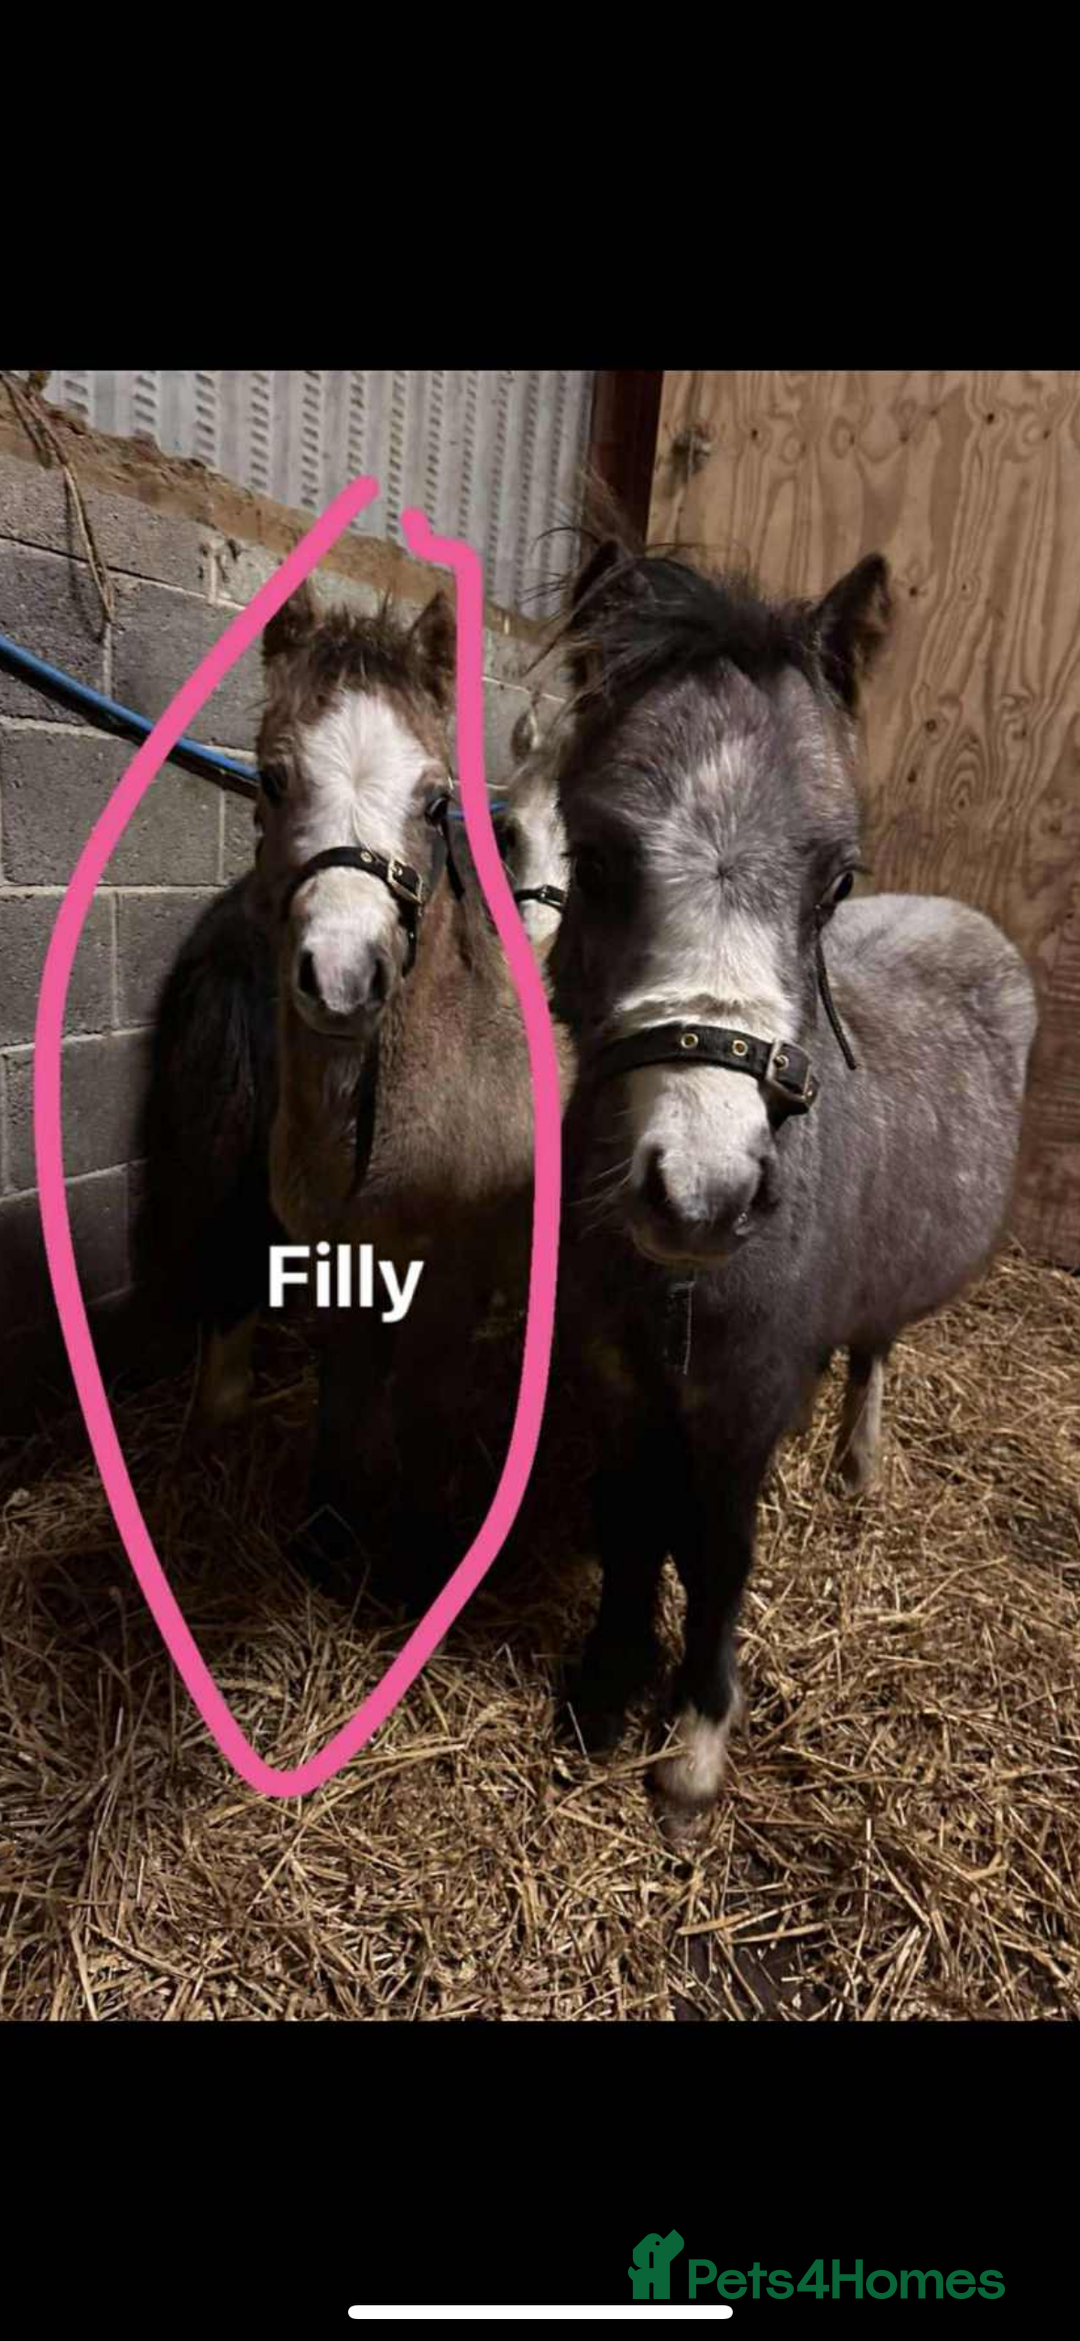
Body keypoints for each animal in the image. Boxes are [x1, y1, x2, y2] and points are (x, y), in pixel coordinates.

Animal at [546, 539, 1038, 1837]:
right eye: (594, 859)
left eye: (835, 880)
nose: (702, 1193)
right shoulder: (619, 1386)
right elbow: (633, 1525)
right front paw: (608, 1686)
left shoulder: (749, 1402)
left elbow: (719, 1554)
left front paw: (693, 1746)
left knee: (876, 1348)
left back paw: (858, 1465)